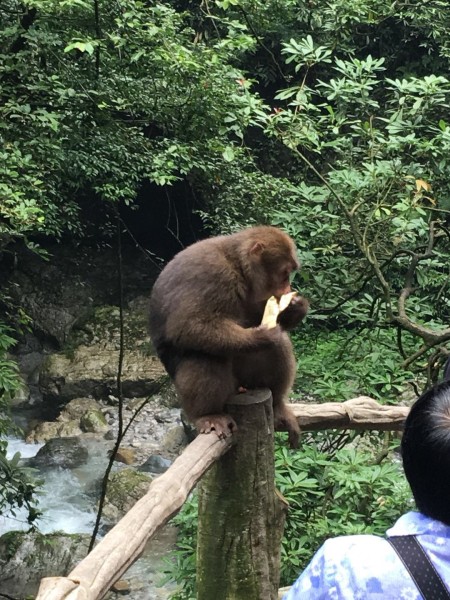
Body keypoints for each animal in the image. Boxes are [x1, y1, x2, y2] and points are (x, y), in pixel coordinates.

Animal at [149, 225, 308, 446]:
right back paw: (208, 415)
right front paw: (263, 336)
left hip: (248, 381)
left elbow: (256, 315)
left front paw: (296, 308)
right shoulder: (214, 274)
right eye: (284, 274)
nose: (287, 288)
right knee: (205, 356)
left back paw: (277, 405)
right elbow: (187, 325)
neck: (238, 266)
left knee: (279, 345)